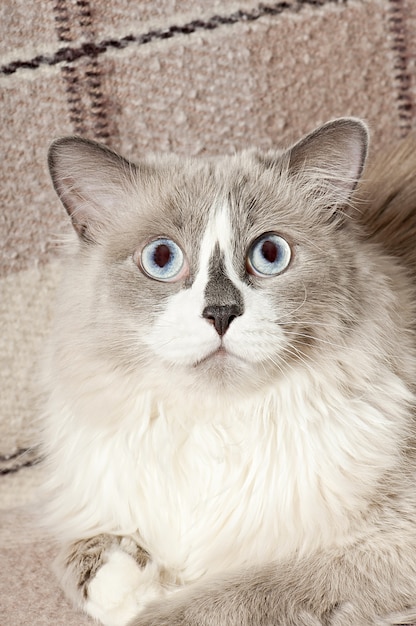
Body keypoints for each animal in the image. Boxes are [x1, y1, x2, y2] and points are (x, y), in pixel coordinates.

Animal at [41, 118, 416, 624]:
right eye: (162, 258)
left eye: (270, 254)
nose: (220, 313)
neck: (217, 427)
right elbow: (81, 559)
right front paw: (132, 585)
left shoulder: (385, 546)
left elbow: (228, 596)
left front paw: (152, 603)